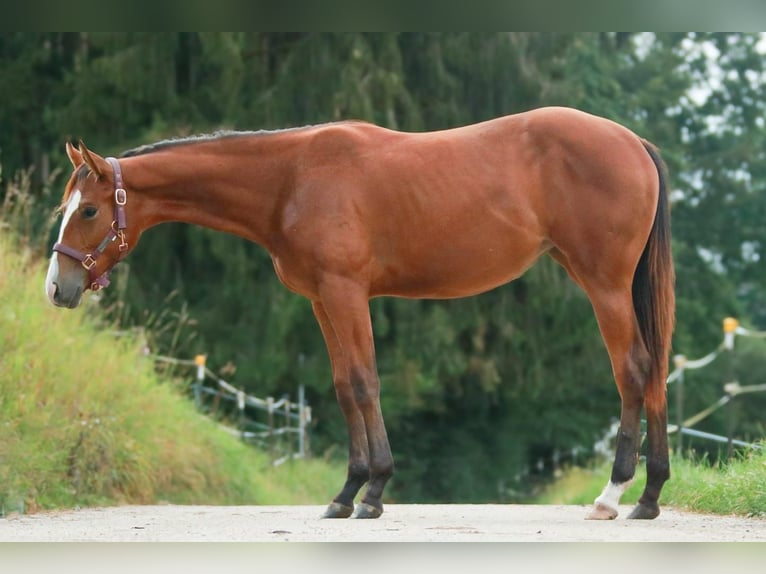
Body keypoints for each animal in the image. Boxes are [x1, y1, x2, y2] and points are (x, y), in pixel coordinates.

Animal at [45, 107, 676, 520]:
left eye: (90, 210)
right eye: (65, 208)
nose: (57, 287)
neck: (291, 179)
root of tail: (633, 141)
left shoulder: (346, 292)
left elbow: (366, 382)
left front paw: (372, 494)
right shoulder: (322, 300)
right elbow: (345, 386)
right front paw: (348, 492)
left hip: (604, 283)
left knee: (634, 370)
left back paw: (615, 495)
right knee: (652, 371)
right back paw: (649, 497)